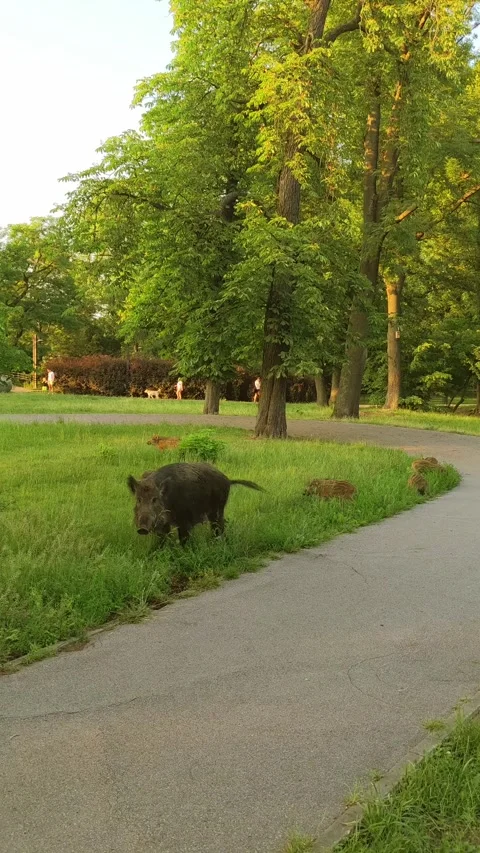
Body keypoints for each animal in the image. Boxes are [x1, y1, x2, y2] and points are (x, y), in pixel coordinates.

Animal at [127, 462, 263, 545]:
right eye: (138, 499)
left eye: (154, 499)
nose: (142, 529)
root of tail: (228, 480)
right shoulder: (163, 524)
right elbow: (164, 539)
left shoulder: (184, 519)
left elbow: (184, 537)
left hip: (217, 509)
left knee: (219, 527)